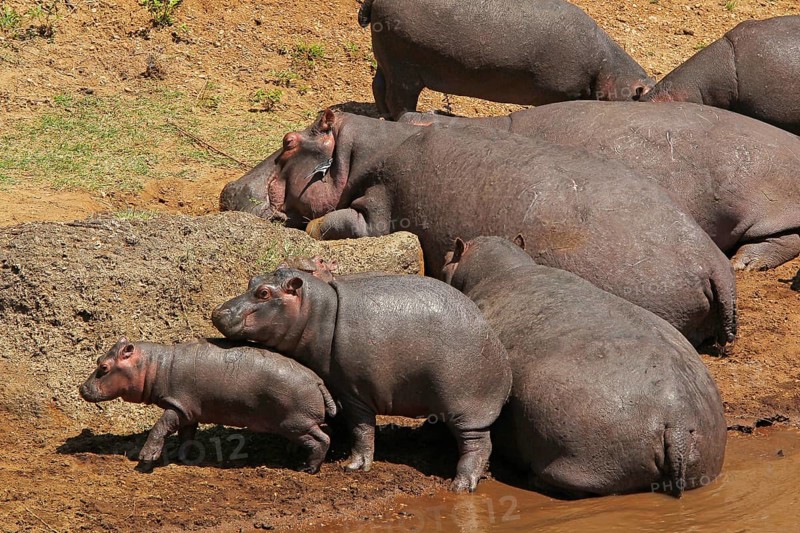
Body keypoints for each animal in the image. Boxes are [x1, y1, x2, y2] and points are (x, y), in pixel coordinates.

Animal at [79, 337, 336, 472]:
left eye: (104, 367)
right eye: (98, 359)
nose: (82, 388)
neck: (154, 365)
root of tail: (318, 381)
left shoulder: (176, 405)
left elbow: (160, 428)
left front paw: (145, 459)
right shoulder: (188, 411)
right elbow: (186, 435)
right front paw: (182, 457)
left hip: (295, 423)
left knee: (322, 439)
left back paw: (308, 468)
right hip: (300, 422)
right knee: (320, 435)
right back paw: (294, 454)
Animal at [211, 269, 512, 492]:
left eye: (263, 293)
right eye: (252, 281)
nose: (218, 312)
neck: (317, 313)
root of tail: (500, 350)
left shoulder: (354, 392)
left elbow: (361, 429)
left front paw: (354, 465)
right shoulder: (333, 387)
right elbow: (331, 419)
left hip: (466, 408)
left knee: (477, 445)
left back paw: (460, 485)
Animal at [359, 0, 654, 119]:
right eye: (640, 96)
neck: (608, 69)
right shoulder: (561, 90)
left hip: (387, 61)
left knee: (378, 86)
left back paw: (383, 115)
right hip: (405, 70)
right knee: (398, 98)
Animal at [442, 236, 727, 498]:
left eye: (447, 258)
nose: (444, 256)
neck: (499, 268)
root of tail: (678, 420)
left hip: (582, 459)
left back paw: (535, 480)